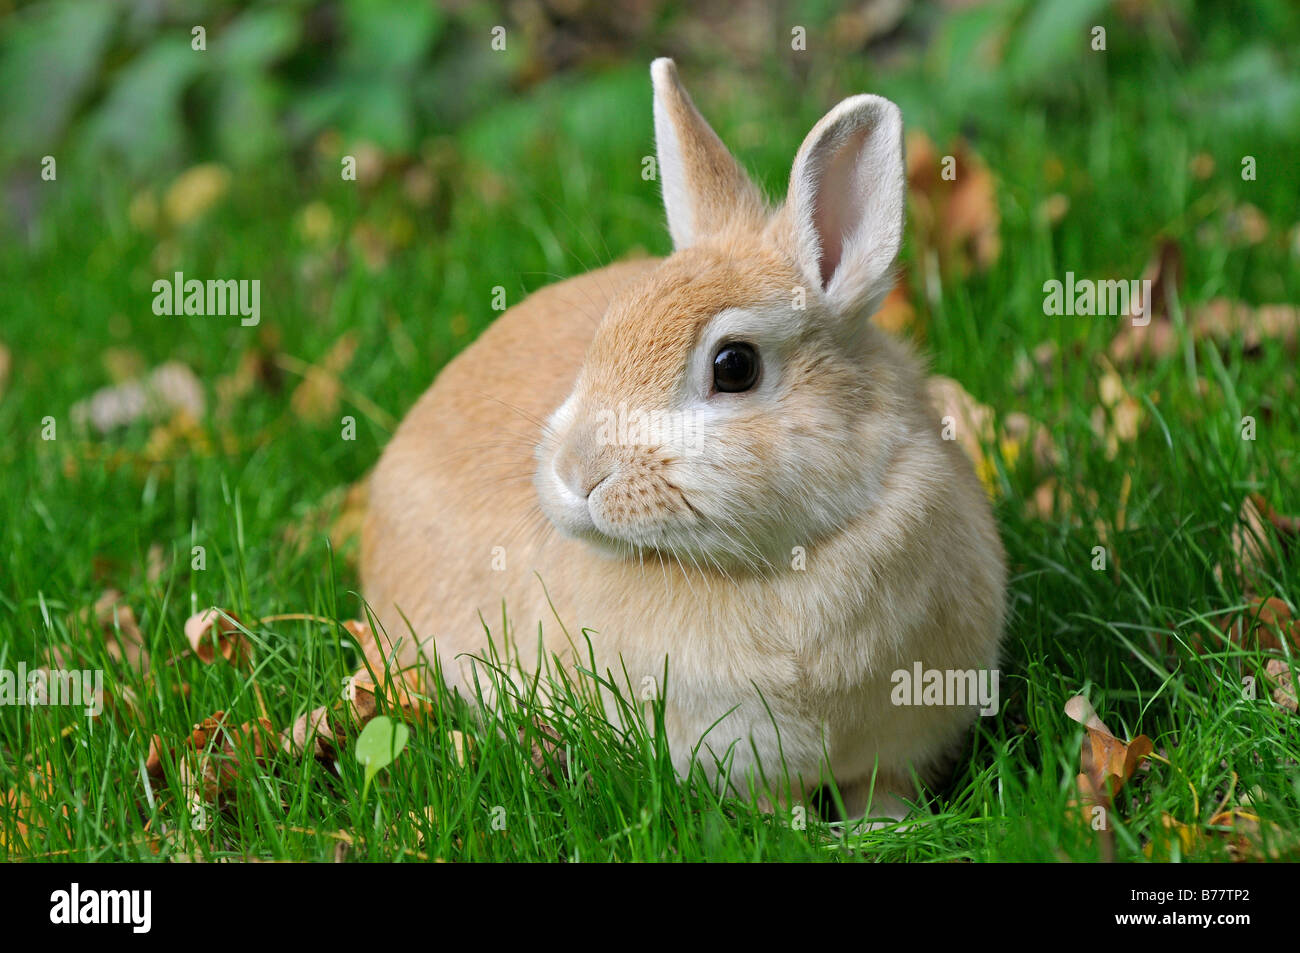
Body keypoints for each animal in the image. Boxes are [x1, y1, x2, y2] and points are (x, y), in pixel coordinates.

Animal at [361, 57, 1008, 816]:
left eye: (735, 366)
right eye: (605, 331)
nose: (576, 473)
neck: (783, 561)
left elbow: (885, 790)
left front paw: (885, 827)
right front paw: (806, 829)